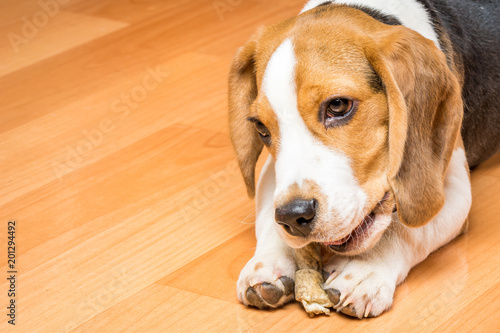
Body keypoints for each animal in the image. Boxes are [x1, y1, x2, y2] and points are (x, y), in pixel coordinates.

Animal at [229, 0, 500, 316]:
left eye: (338, 105)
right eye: (261, 128)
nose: (294, 217)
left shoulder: (453, 190)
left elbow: (405, 230)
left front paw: (364, 269)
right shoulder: (272, 172)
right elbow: (268, 215)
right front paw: (271, 260)